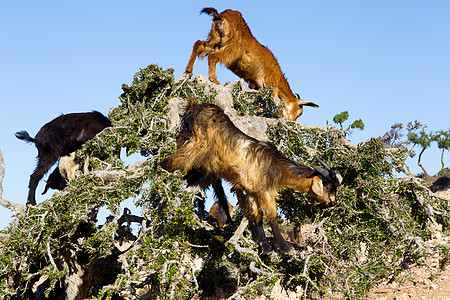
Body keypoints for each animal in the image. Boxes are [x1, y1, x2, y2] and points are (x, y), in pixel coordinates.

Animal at [161, 100, 342, 253]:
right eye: (328, 186)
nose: (332, 202)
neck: (275, 165)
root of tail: (194, 107)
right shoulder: (265, 190)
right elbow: (271, 216)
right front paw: (284, 247)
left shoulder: (252, 191)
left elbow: (257, 216)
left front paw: (265, 247)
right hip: (194, 148)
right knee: (167, 164)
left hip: (198, 161)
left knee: (187, 182)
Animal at [184, 6, 320, 120]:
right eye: (299, 112)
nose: (290, 121)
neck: (277, 75)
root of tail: (220, 17)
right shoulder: (270, 84)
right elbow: (272, 102)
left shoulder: (255, 85)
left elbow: (259, 104)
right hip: (232, 48)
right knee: (213, 56)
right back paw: (213, 79)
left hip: (216, 40)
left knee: (198, 45)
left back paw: (188, 72)